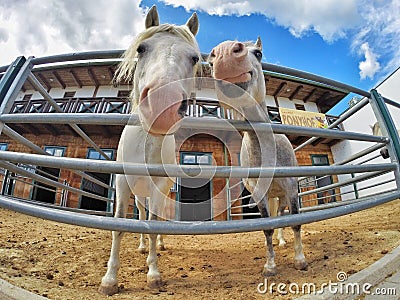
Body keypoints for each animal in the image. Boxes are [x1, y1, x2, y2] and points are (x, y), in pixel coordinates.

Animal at [99, 5, 202, 294]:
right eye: (141, 49)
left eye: (194, 58)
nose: (162, 104)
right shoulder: (122, 184)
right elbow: (119, 226)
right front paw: (110, 279)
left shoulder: (158, 187)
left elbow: (155, 225)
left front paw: (154, 274)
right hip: (137, 193)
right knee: (142, 214)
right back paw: (143, 246)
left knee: (156, 219)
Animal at [208, 38, 308, 276]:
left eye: (259, 53)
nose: (224, 53)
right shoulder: (258, 194)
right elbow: (266, 228)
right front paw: (270, 265)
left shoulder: (291, 187)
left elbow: (296, 222)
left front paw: (300, 259)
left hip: (282, 195)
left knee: (282, 214)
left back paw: (284, 242)